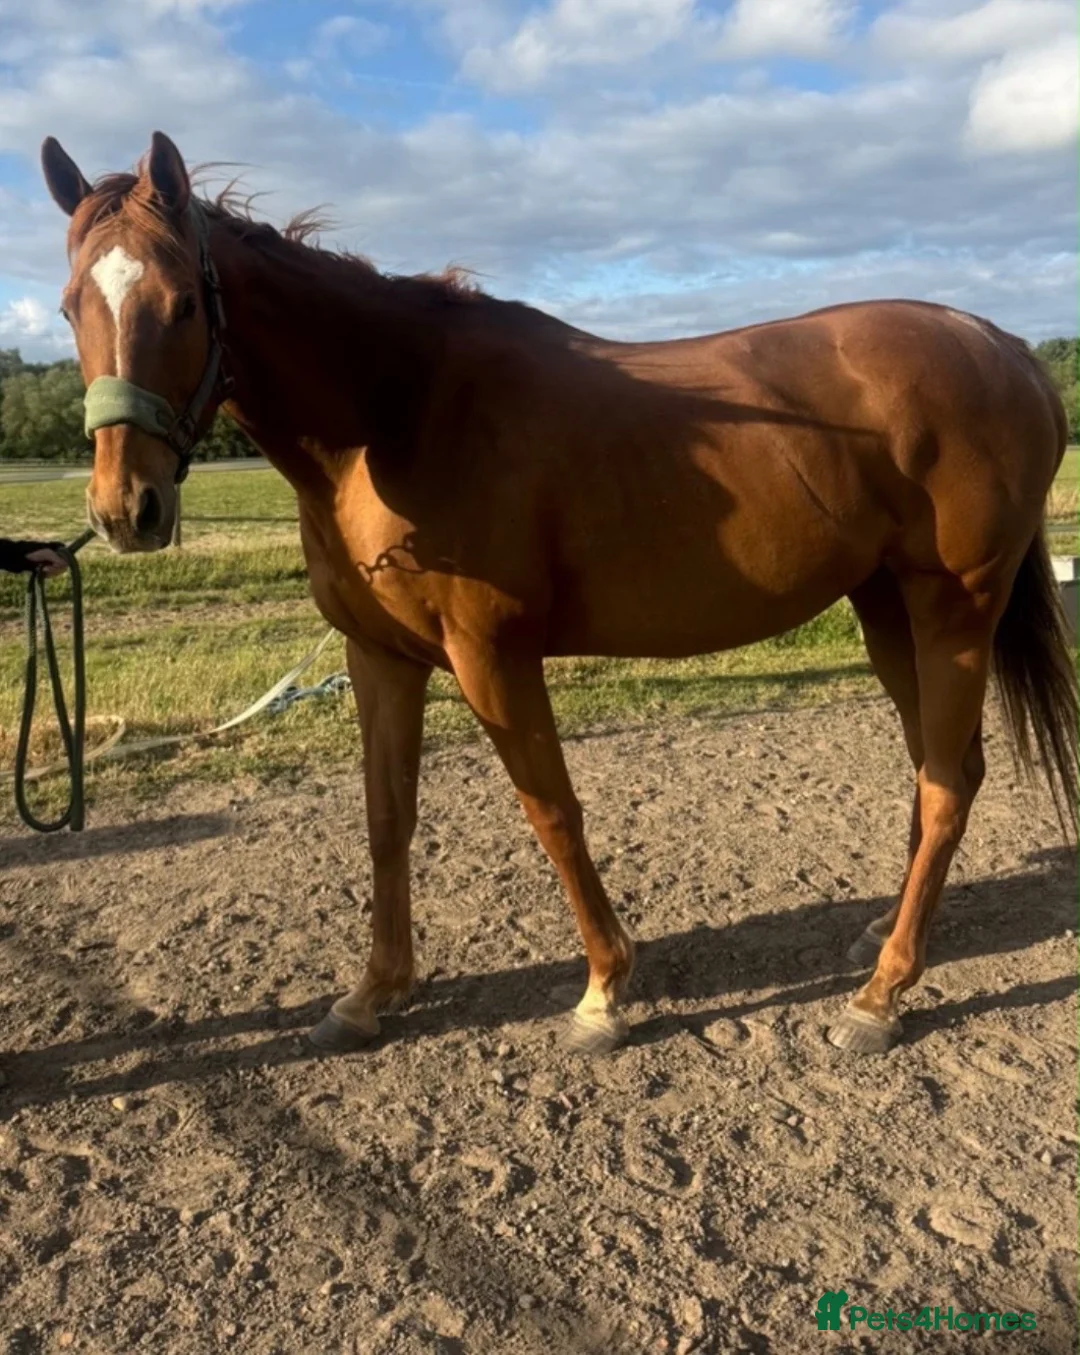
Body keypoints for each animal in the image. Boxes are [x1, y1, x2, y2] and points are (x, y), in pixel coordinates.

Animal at [41, 131, 1077, 1058]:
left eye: (182, 302)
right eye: (67, 307)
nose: (126, 507)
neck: (401, 409)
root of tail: (1008, 349)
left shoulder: (491, 656)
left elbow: (552, 811)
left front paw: (605, 991)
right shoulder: (381, 659)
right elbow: (386, 818)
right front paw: (373, 994)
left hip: (952, 611)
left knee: (946, 783)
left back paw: (881, 995)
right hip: (885, 608)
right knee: (940, 766)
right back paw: (886, 939)